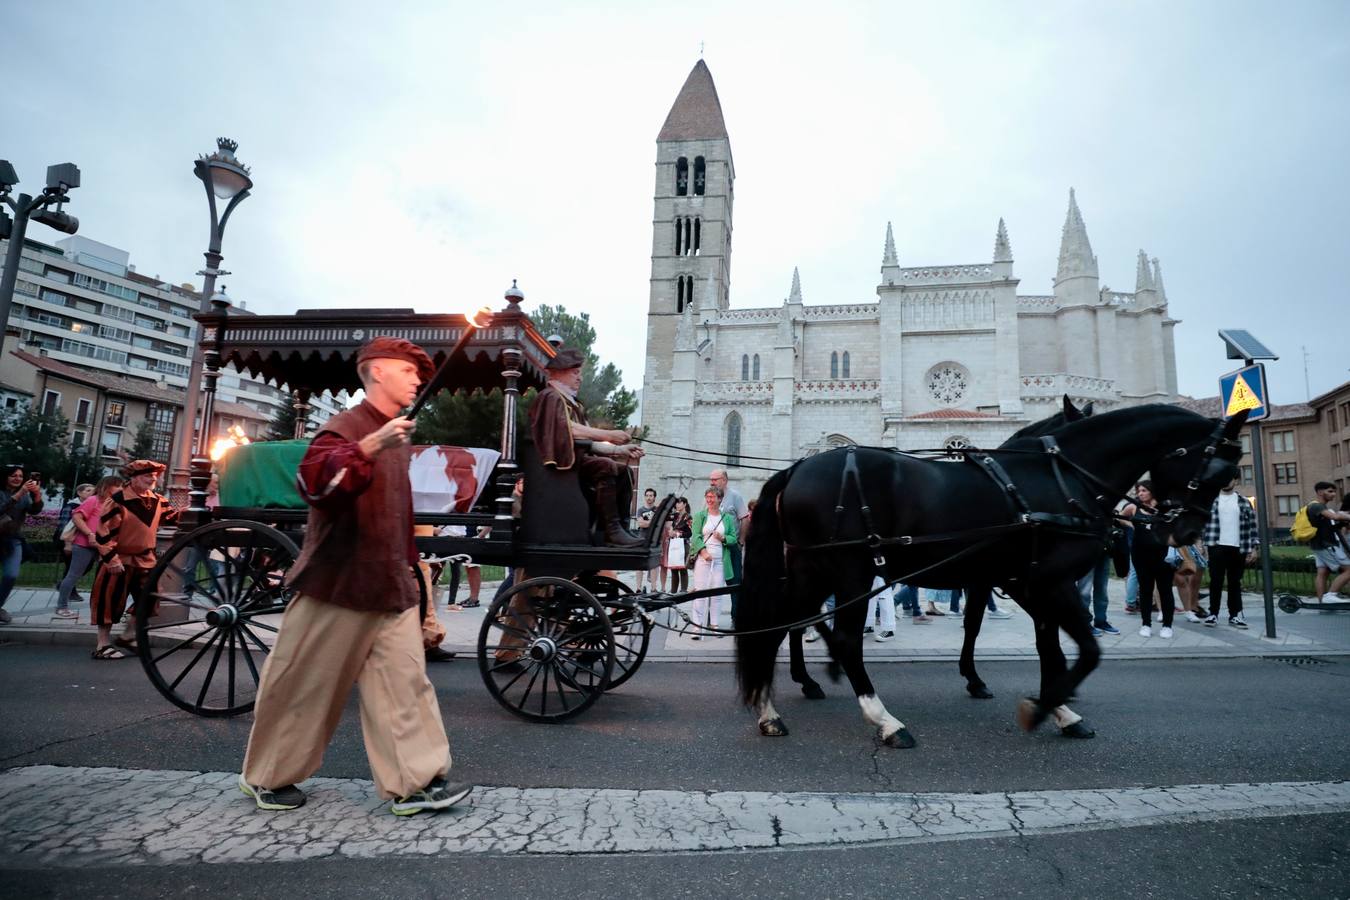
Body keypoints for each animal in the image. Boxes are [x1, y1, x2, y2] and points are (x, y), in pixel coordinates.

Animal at [739, 402, 1242, 744]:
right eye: (1219, 469)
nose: (1186, 532)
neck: (1058, 479)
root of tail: (797, 468)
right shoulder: (1048, 583)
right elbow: (1085, 650)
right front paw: (1042, 706)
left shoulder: (1024, 584)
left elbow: (1045, 647)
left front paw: (1058, 705)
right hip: (850, 572)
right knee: (838, 637)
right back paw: (884, 720)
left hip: (813, 571)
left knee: (781, 626)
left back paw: (771, 709)